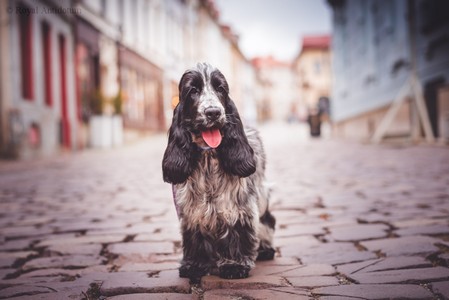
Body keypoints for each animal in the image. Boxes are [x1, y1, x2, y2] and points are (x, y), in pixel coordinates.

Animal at [161, 63, 272, 282]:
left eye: (220, 89)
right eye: (193, 91)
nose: (213, 112)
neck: (208, 157)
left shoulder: (239, 206)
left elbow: (238, 232)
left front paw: (234, 266)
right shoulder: (191, 210)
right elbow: (195, 237)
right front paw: (194, 265)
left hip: (262, 198)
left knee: (267, 224)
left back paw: (265, 249)